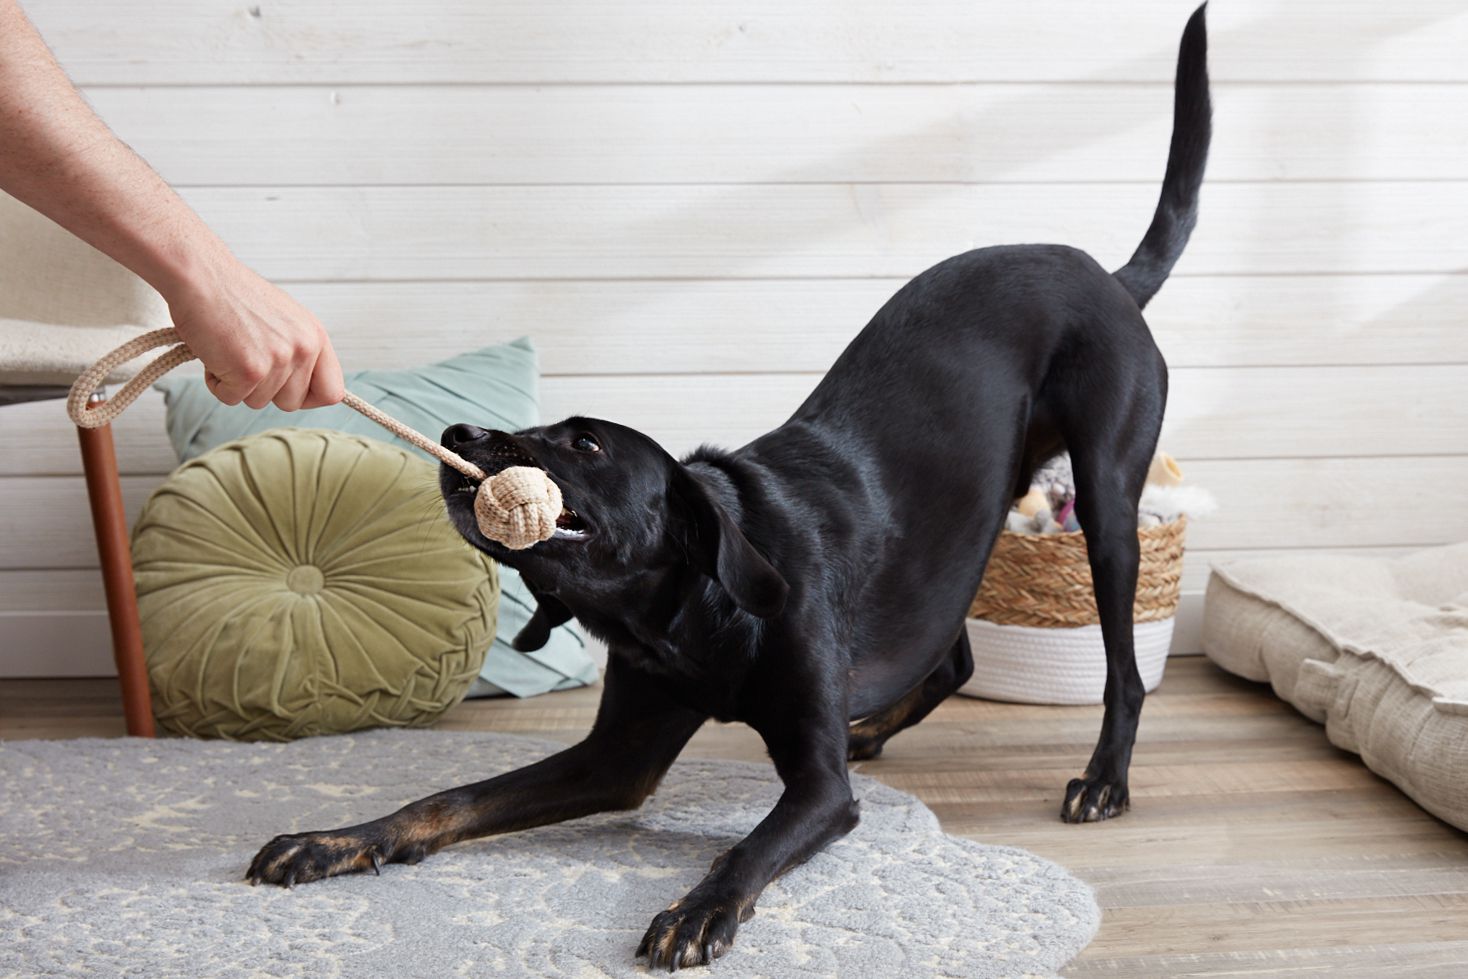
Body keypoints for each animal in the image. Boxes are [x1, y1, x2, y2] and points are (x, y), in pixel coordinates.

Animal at [252, 5, 1209, 974]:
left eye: (585, 441)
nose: (457, 436)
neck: (684, 613)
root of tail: (1106, 277)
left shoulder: (820, 789)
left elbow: (747, 846)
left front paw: (700, 908)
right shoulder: (614, 757)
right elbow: (451, 796)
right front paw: (339, 838)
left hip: (1108, 503)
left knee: (1125, 670)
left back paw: (1103, 778)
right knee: (955, 655)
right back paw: (879, 723)